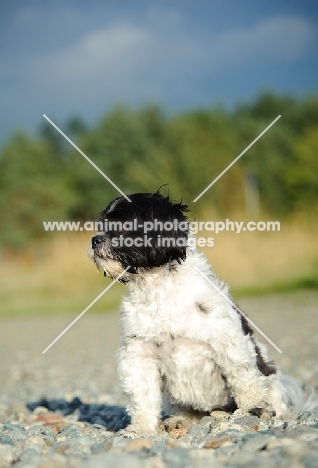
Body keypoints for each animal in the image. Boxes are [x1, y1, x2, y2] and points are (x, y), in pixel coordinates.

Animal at [88, 190, 314, 436]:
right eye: (101, 226)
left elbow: (243, 378)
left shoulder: (229, 342)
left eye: (122, 226)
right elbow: (143, 398)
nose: (94, 239)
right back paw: (180, 421)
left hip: (271, 380)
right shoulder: (139, 356)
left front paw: (254, 408)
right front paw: (141, 430)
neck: (162, 291)